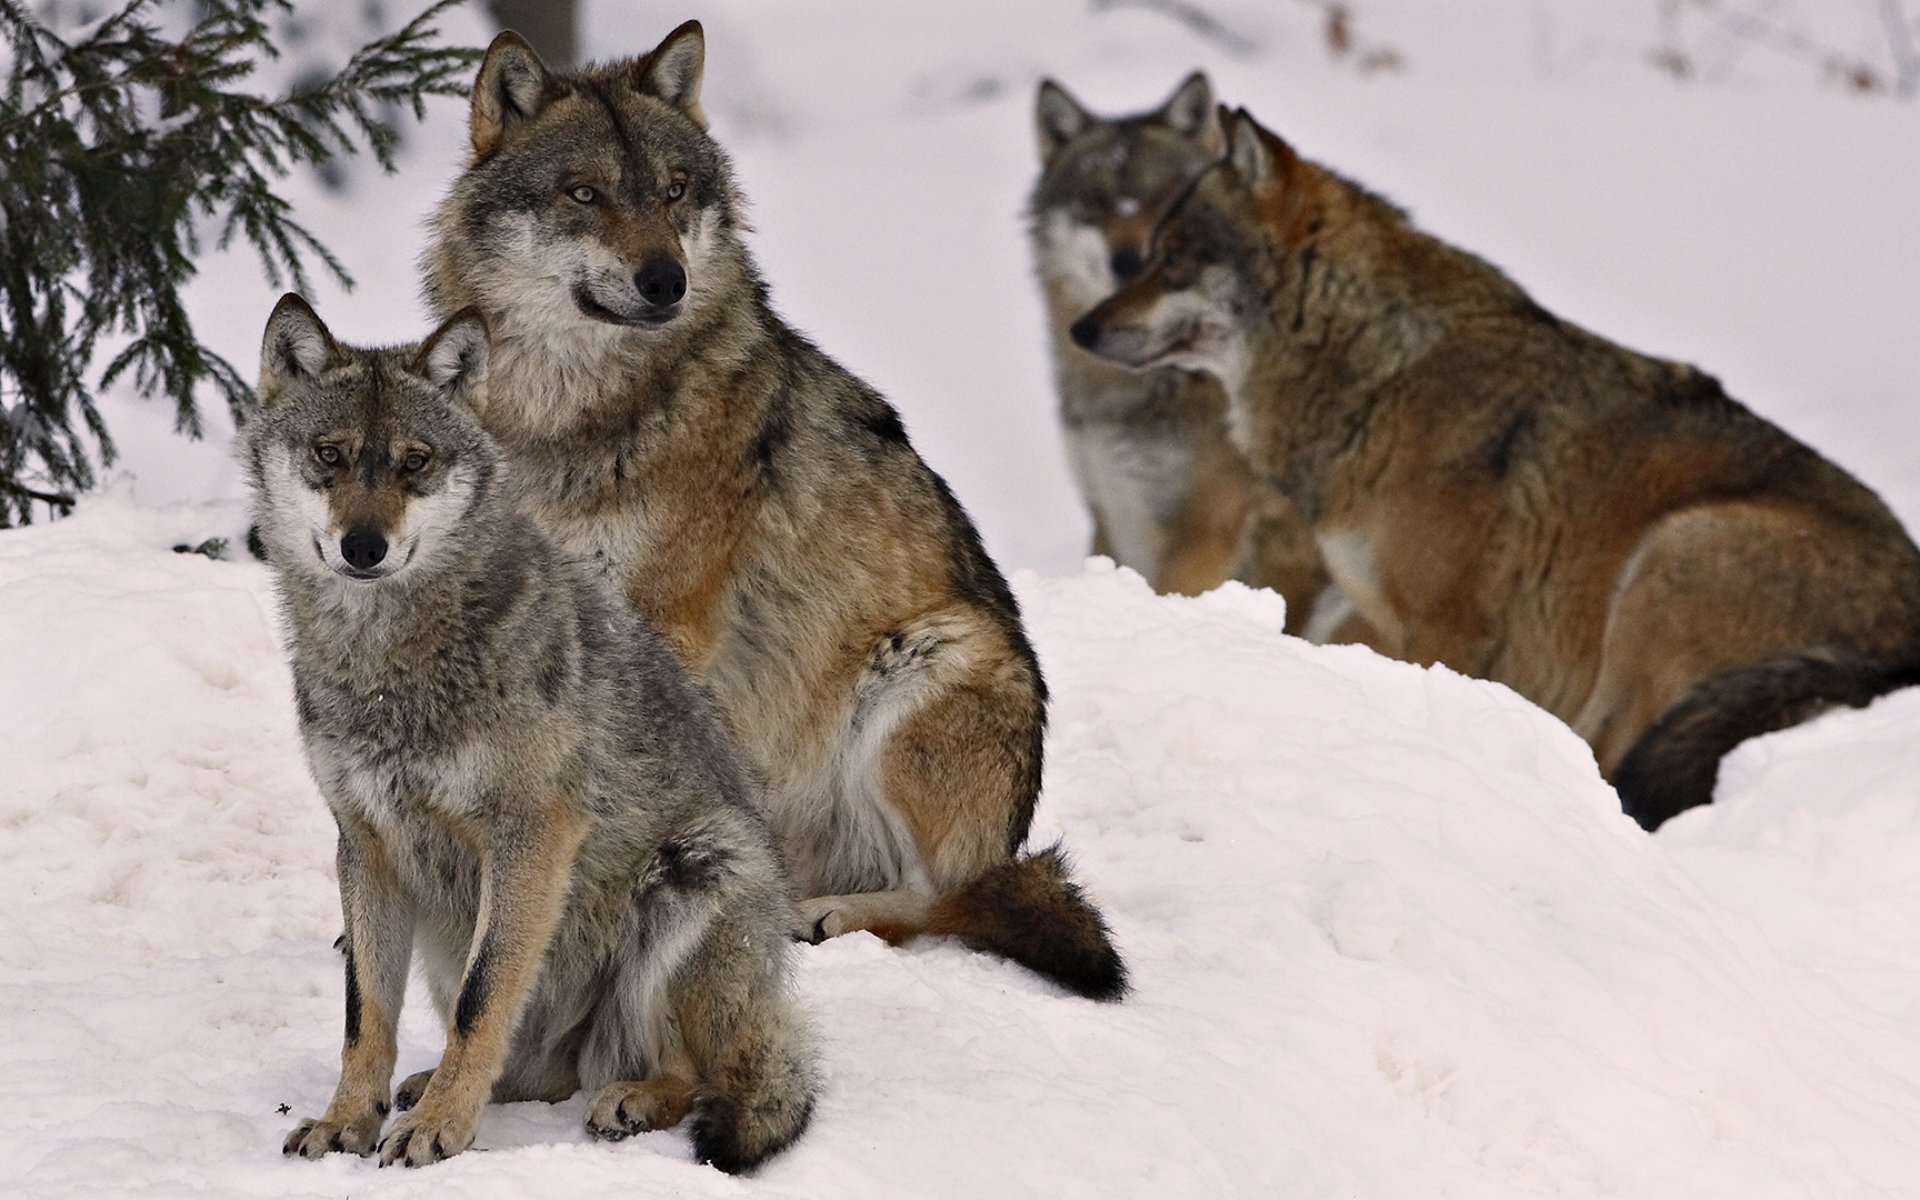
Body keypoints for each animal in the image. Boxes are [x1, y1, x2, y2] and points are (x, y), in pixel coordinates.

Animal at [249, 295, 815, 1171]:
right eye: (329, 455)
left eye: (415, 462)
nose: (363, 547)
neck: (389, 665)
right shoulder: (366, 844)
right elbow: (365, 1016)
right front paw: (349, 1122)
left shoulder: (531, 834)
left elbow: (483, 1001)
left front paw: (439, 1132)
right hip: (448, 933)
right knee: (539, 1073)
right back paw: (440, 1087)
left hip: (697, 870)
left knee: (691, 1072)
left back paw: (628, 1099)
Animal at [419, 23, 1125, 1000]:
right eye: (584, 194)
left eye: (674, 191)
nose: (666, 280)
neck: (568, 415)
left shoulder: (666, 623)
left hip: (928, 663)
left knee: (950, 901)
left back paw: (822, 917)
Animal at [1072, 108, 1920, 829]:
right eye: (1149, 258)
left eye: (1171, 261)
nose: (1082, 328)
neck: (1382, 372)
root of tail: (1904, 651)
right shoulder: (1383, 616)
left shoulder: (1448, 627)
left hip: (1673, 555)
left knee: (1618, 763)